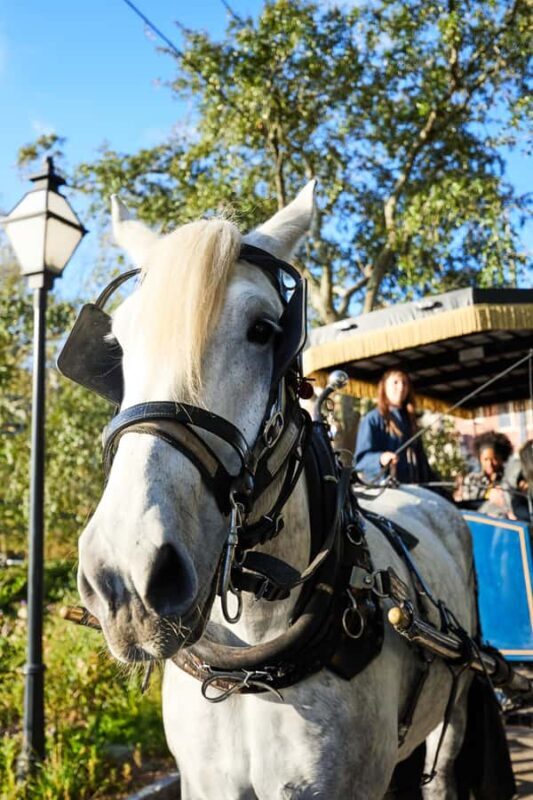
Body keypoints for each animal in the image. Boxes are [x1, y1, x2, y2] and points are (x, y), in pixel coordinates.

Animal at [75, 183, 480, 799]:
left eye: (265, 330)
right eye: (117, 346)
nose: (127, 578)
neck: (251, 665)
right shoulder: (206, 783)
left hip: (455, 709)